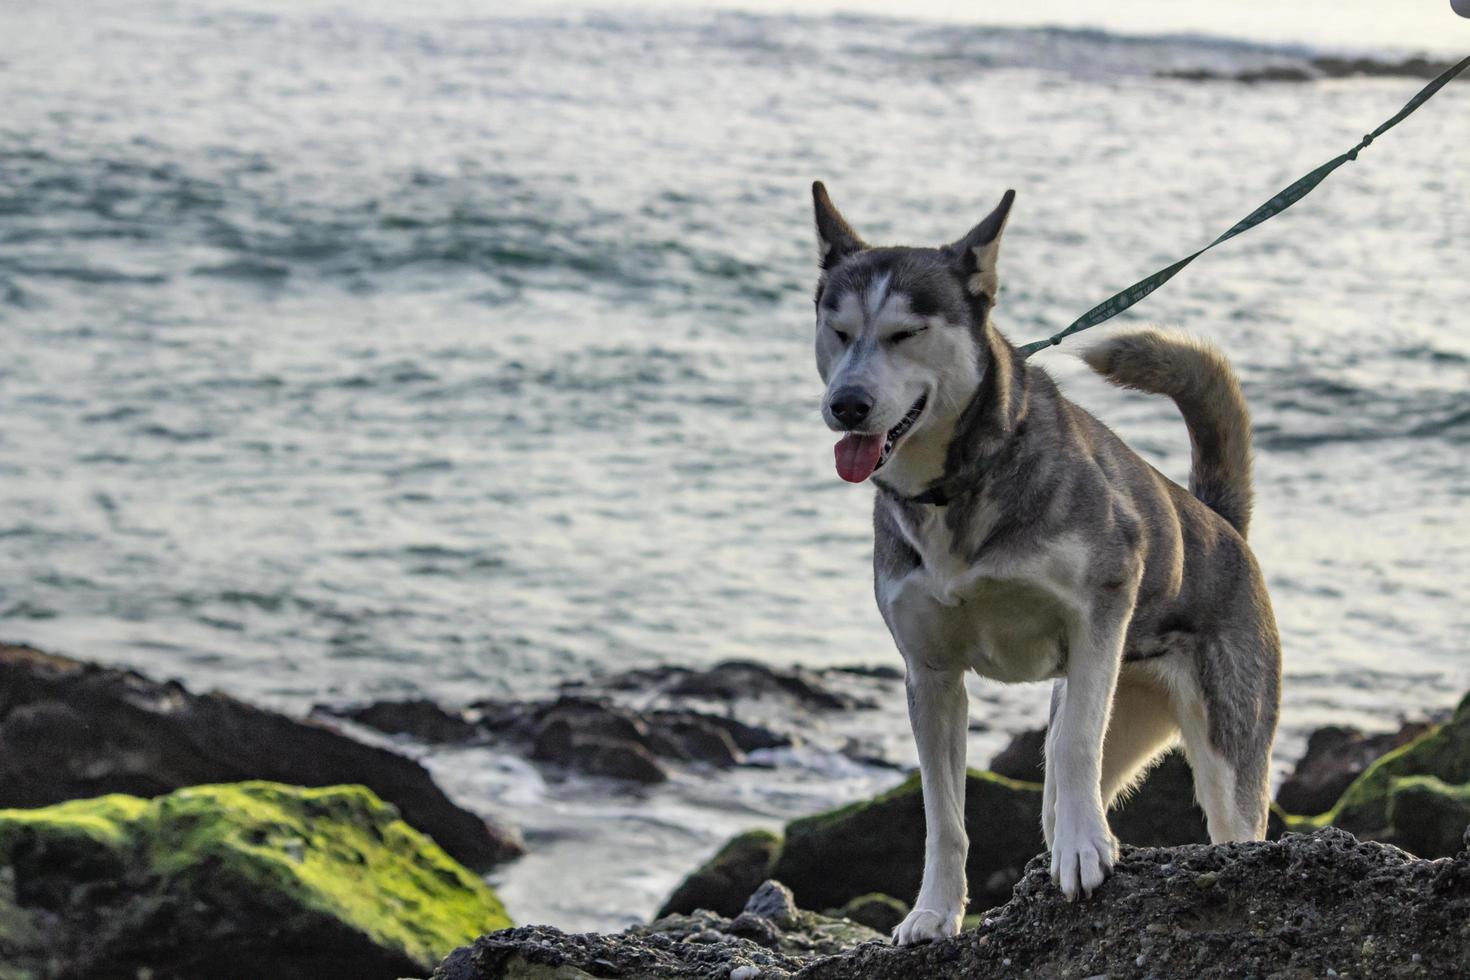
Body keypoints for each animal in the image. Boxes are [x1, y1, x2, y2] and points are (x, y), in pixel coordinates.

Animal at [811, 182, 1281, 940]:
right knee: (1062, 786)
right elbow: (944, 816)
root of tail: (1218, 521)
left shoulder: (1101, 611)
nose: (846, 404)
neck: (957, 487)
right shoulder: (930, 674)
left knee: (1193, 804)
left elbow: (1074, 749)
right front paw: (934, 912)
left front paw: (1085, 852)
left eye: (905, 333)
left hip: (1221, 738)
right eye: (840, 330)